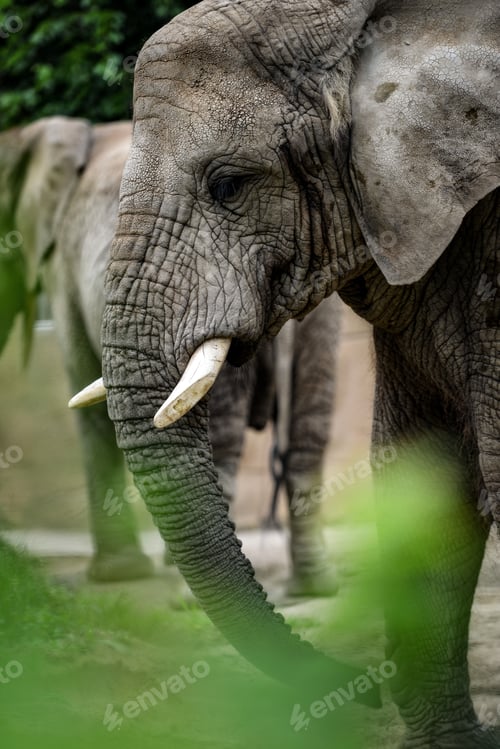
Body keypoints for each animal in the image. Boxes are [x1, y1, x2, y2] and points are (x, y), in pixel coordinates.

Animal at [0, 116, 340, 593]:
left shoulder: (63, 270)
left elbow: (86, 394)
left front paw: (117, 575)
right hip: (316, 318)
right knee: (310, 430)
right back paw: (316, 587)